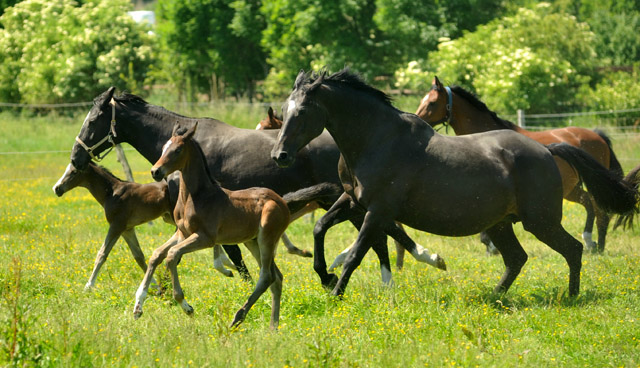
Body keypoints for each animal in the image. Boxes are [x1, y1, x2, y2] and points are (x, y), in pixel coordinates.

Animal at [416, 76, 624, 252]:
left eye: (432, 103)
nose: (418, 119)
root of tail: (598, 136)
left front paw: (491, 245)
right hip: (571, 189)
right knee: (589, 203)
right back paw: (592, 243)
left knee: (601, 212)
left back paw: (596, 245)